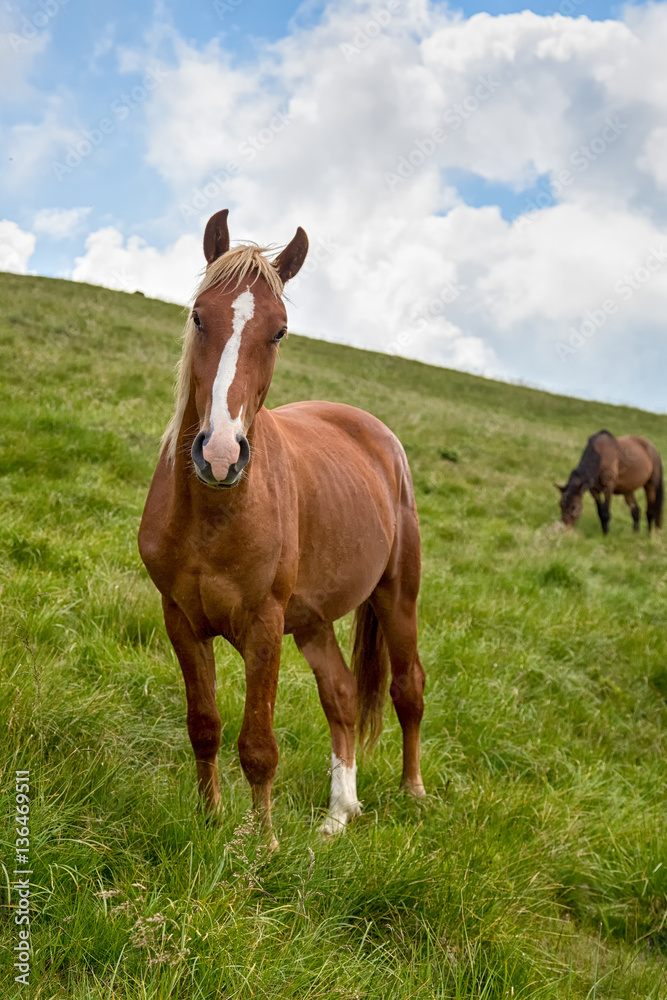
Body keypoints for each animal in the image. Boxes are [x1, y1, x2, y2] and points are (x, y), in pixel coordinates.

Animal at [138, 210, 426, 847]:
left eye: (280, 332)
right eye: (199, 315)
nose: (220, 455)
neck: (214, 514)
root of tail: (376, 432)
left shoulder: (264, 626)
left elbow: (259, 747)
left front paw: (261, 844)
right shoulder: (181, 620)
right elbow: (204, 724)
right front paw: (210, 819)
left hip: (397, 597)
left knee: (408, 687)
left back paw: (414, 794)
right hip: (313, 620)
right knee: (341, 695)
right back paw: (339, 813)